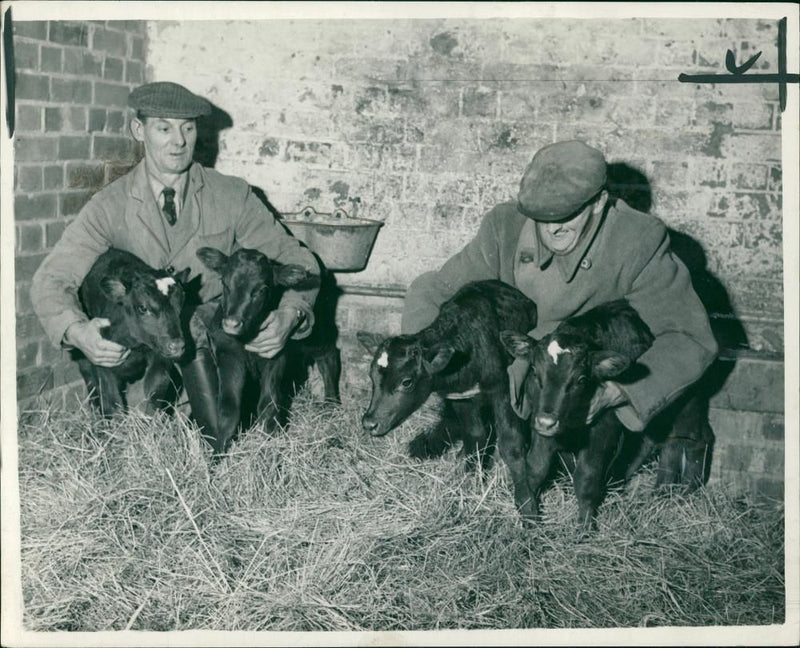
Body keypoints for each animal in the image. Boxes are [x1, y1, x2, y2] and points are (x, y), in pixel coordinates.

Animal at [77, 248, 191, 416]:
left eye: (181, 303)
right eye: (142, 308)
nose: (176, 345)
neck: (135, 345)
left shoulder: (160, 357)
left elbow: (155, 391)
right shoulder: (102, 360)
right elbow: (113, 403)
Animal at [196, 246, 328, 454]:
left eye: (261, 290)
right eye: (224, 283)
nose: (231, 323)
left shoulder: (276, 355)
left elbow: (268, 403)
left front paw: (269, 446)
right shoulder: (228, 356)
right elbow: (229, 407)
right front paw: (218, 452)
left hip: (318, 337)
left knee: (330, 357)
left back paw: (332, 403)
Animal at [360, 280, 540, 520]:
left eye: (406, 382)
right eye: (372, 376)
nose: (369, 423)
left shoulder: (503, 389)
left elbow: (511, 444)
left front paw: (527, 506)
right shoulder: (461, 397)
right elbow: (475, 434)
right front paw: (467, 480)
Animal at [504, 298, 716, 532]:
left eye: (581, 379)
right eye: (534, 370)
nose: (546, 422)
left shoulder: (603, 426)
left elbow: (586, 477)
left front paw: (585, 529)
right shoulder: (542, 421)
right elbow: (535, 468)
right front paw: (528, 512)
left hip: (687, 406)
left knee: (696, 439)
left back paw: (687, 492)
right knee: (668, 445)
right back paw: (661, 493)